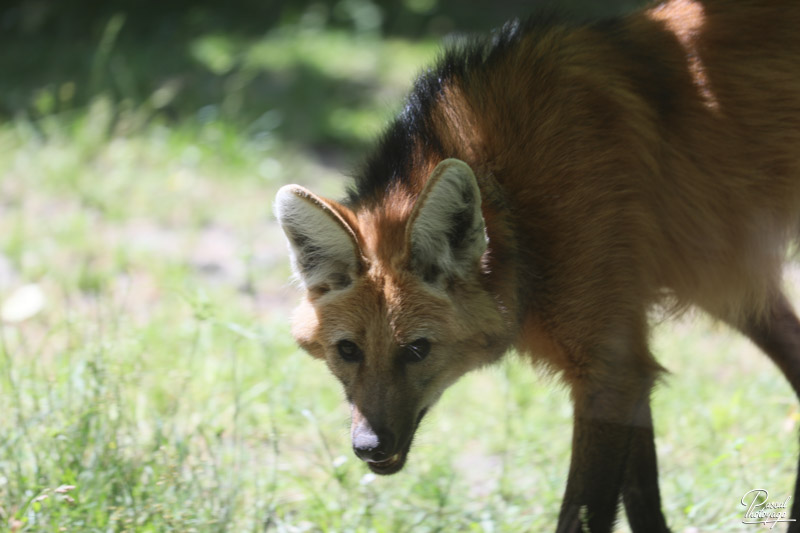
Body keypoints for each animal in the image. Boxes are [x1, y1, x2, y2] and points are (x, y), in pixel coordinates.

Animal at [274, 0, 800, 528]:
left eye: (418, 349)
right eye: (348, 350)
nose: (369, 447)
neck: (514, 202)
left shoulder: (610, 371)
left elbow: (585, 513)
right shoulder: (626, 364)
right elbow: (644, 503)